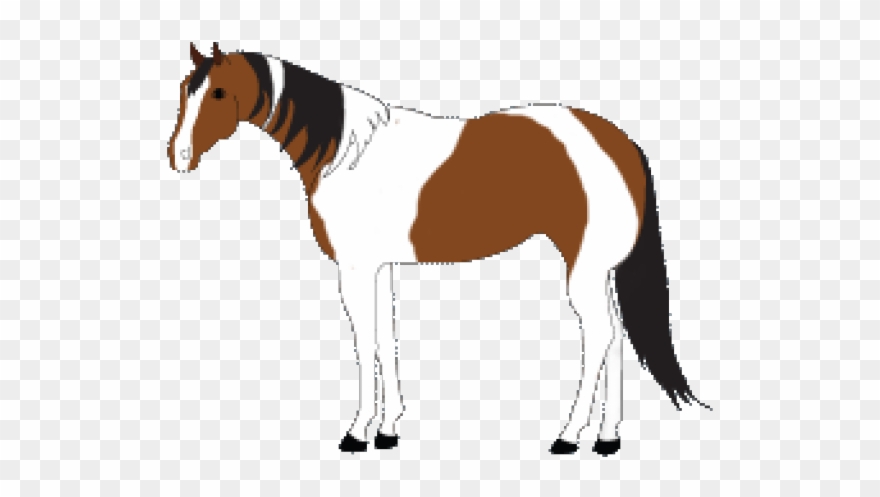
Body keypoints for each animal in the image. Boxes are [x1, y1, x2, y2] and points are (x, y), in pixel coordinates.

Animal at [167, 42, 710, 456]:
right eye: (185, 89)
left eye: (218, 92)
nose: (178, 157)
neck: (344, 152)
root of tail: (621, 143)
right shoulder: (379, 266)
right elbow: (385, 338)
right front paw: (387, 430)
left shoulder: (356, 268)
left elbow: (366, 343)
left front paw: (357, 432)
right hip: (600, 269)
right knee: (615, 339)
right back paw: (606, 438)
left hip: (584, 267)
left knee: (598, 336)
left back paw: (568, 436)